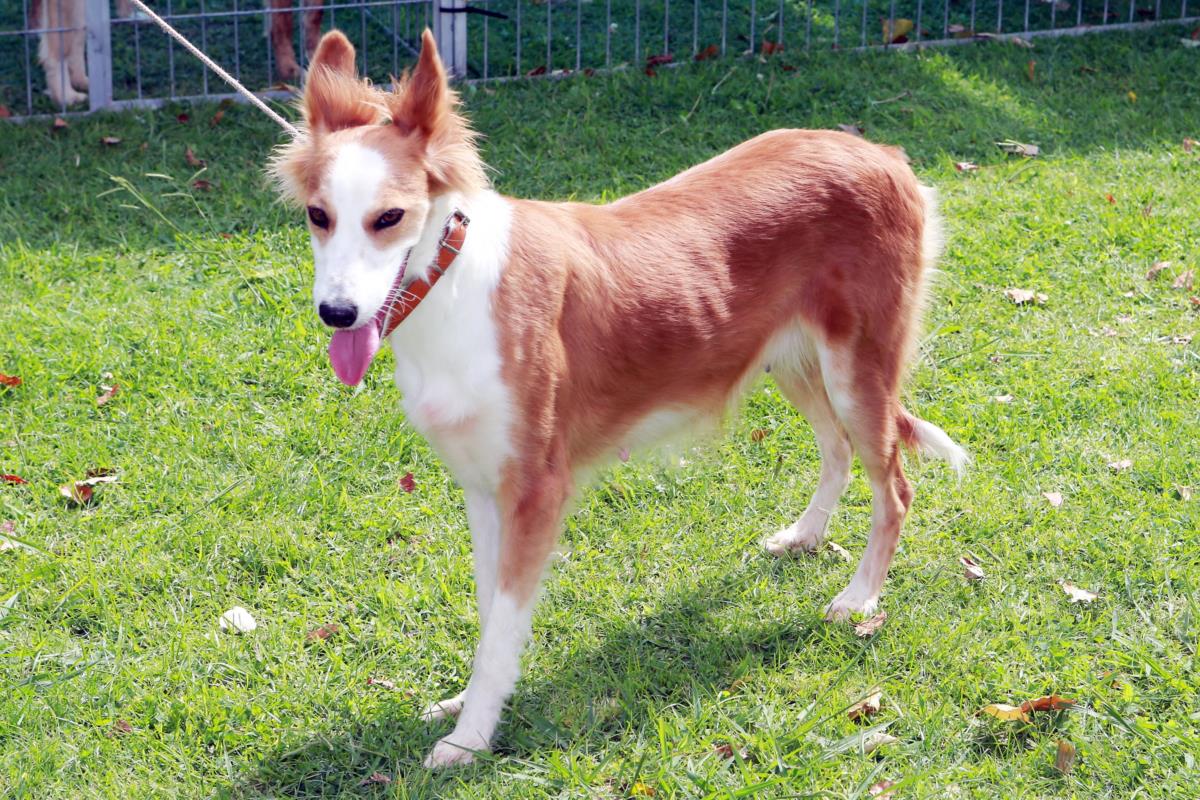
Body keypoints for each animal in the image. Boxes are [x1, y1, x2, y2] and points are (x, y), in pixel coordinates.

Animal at [271, 29, 967, 767]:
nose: (337, 314)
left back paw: (859, 598)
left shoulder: (536, 490)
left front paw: (469, 737)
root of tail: (881, 152)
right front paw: (471, 702)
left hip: (857, 369)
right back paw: (806, 536)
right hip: (794, 360)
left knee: (894, 487)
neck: (452, 282)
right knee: (836, 449)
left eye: (390, 217)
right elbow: (492, 616)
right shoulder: (484, 487)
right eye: (318, 216)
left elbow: (503, 625)